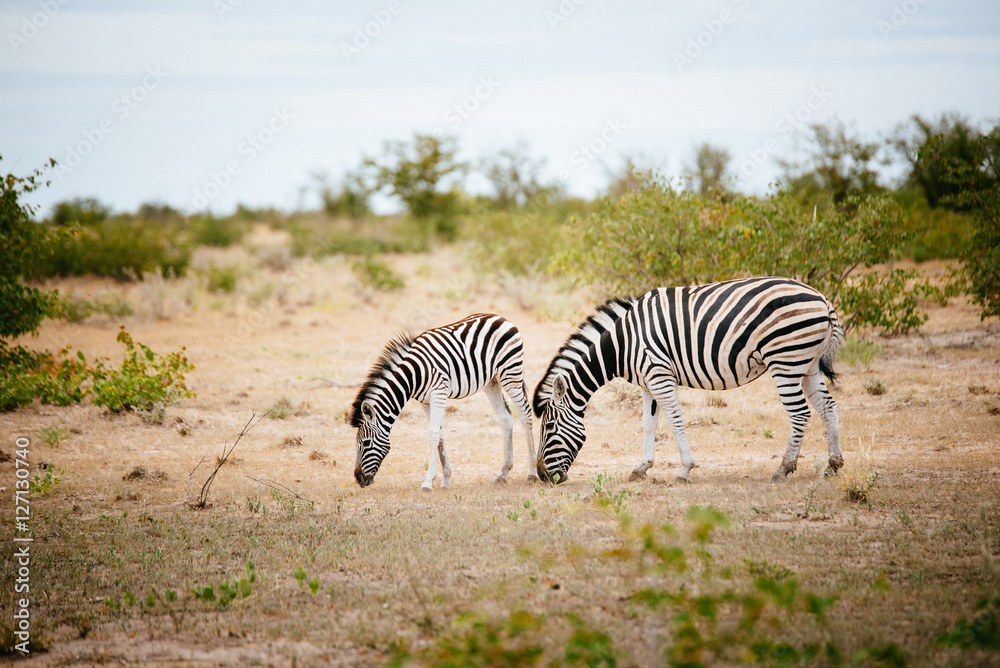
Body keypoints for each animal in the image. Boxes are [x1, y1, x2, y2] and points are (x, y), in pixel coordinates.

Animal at [352, 313, 536, 491]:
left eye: (366, 443)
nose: (358, 478)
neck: (414, 375)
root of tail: (501, 317)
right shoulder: (425, 401)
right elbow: (439, 435)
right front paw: (445, 480)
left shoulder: (438, 393)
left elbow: (433, 434)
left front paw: (428, 482)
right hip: (491, 381)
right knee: (505, 417)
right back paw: (503, 473)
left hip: (510, 373)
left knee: (525, 414)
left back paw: (532, 473)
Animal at [532, 277, 843, 484]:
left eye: (548, 427)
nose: (543, 476)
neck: (623, 345)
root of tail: (822, 298)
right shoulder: (648, 383)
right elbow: (648, 424)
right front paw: (642, 468)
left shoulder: (659, 375)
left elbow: (674, 421)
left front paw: (684, 469)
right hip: (808, 364)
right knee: (828, 407)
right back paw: (833, 464)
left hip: (786, 360)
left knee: (800, 413)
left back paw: (783, 468)